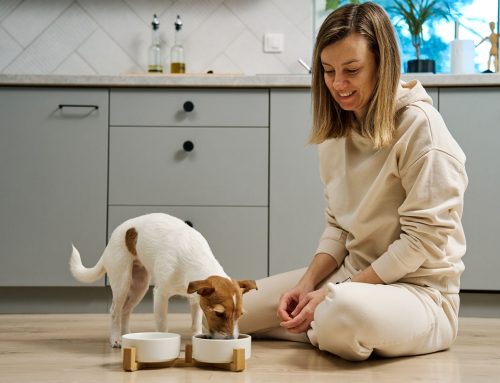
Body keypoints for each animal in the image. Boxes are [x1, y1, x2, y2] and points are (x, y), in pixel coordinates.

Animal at [69, 213, 258, 348]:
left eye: (240, 315)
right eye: (219, 313)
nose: (232, 340)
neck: (194, 257)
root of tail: (115, 234)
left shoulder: (196, 300)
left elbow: (195, 324)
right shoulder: (160, 295)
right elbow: (162, 325)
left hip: (139, 286)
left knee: (125, 311)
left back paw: (127, 334)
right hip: (122, 282)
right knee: (115, 311)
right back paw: (116, 339)